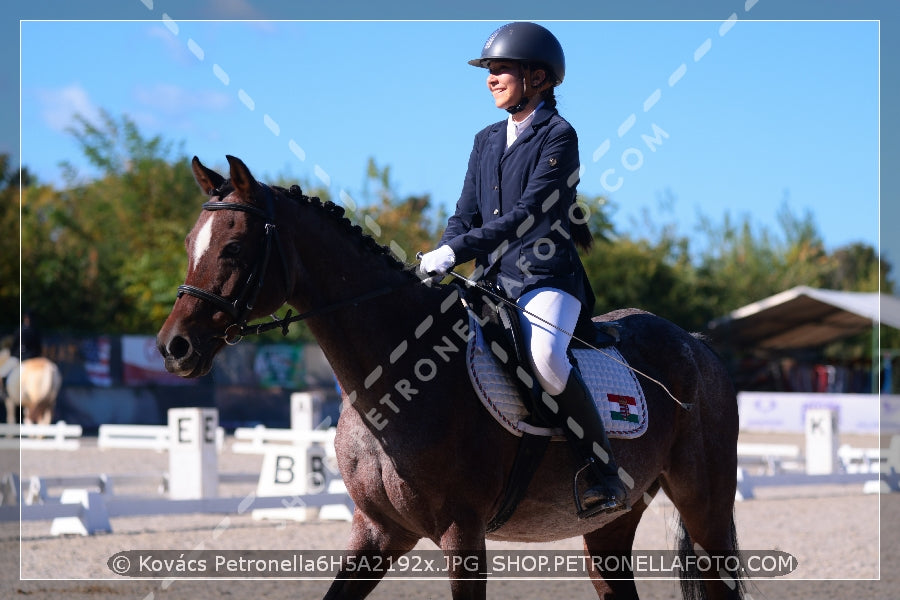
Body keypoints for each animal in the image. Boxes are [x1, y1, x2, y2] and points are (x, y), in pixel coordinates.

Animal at [156, 157, 744, 596]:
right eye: (187, 245)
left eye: (233, 247)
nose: (173, 347)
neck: (395, 379)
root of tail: (699, 345)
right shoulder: (377, 533)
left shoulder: (462, 536)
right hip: (609, 529)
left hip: (705, 510)